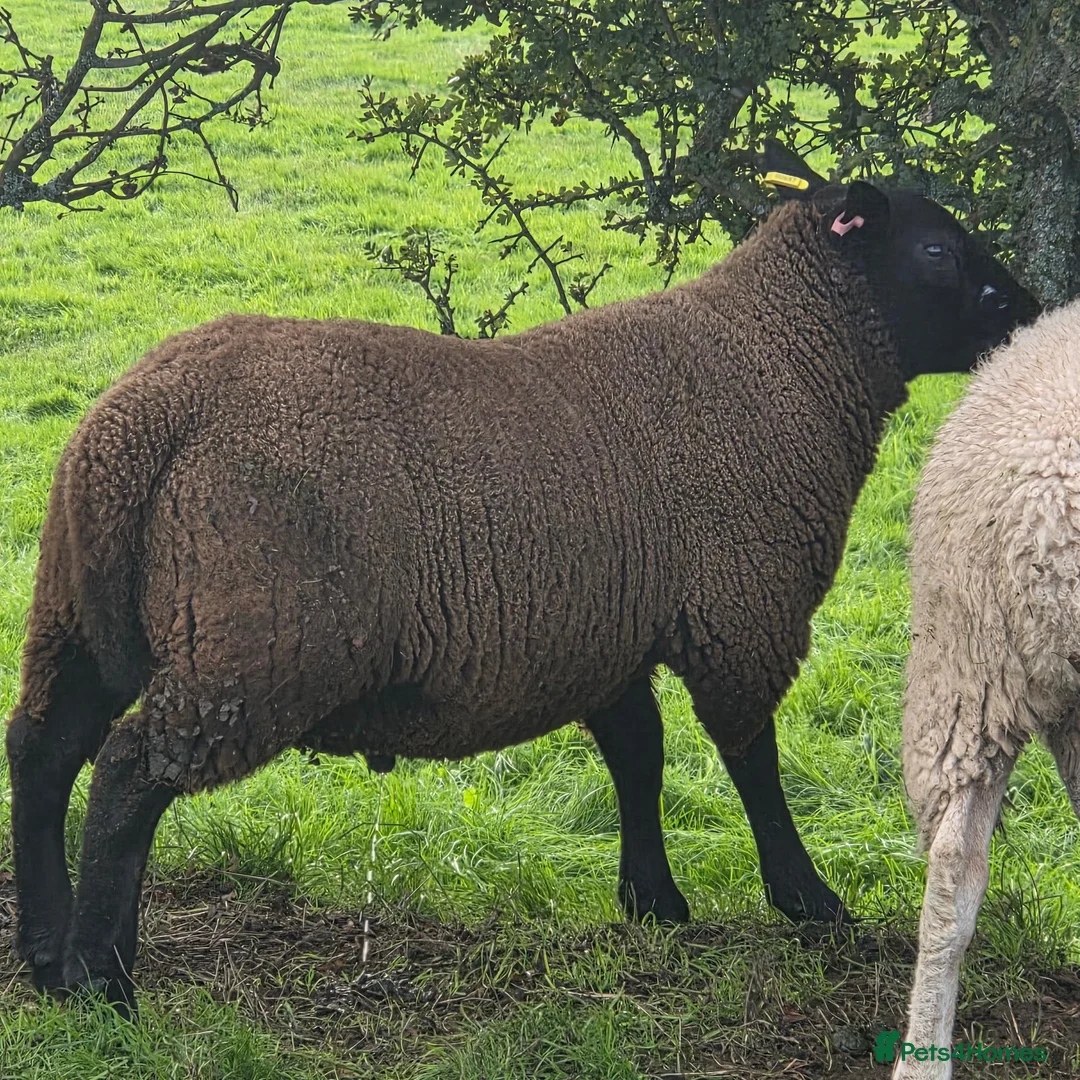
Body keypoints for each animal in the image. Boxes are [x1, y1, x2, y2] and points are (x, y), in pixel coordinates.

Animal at [6, 148, 1039, 1013]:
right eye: (938, 249)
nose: (1028, 311)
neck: (782, 357)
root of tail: (144, 419)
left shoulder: (613, 625)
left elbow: (638, 753)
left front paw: (653, 899)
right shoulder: (743, 608)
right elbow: (751, 760)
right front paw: (806, 898)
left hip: (84, 616)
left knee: (44, 749)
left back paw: (51, 952)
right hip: (259, 641)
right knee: (128, 772)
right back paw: (104, 979)